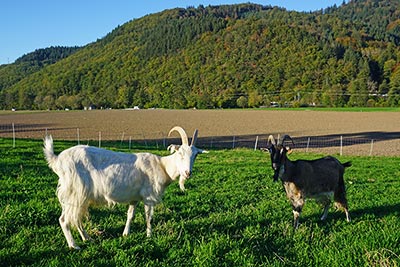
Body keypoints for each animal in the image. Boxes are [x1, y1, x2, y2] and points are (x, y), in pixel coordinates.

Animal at [43, 126, 206, 250]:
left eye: (195, 155)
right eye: (180, 153)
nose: (188, 173)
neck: (162, 166)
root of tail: (57, 160)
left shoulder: (134, 198)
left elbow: (130, 215)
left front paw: (126, 233)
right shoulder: (149, 196)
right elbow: (149, 217)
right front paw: (149, 236)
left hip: (81, 196)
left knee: (76, 218)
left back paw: (87, 238)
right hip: (75, 191)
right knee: (64, 219)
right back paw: (74, 245)